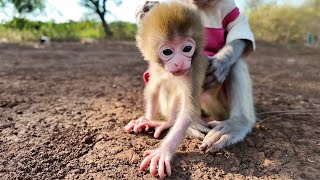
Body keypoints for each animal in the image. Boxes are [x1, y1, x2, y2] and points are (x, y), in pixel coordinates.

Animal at [125, 1, 208, 179]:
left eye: (187, 49)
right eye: (167, 51)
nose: (179, 62)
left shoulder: (192, 71)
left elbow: (188, 110)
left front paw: (163, 152)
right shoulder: (156, 67)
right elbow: (152, 89)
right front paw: (147, 119)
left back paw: (168, 123)